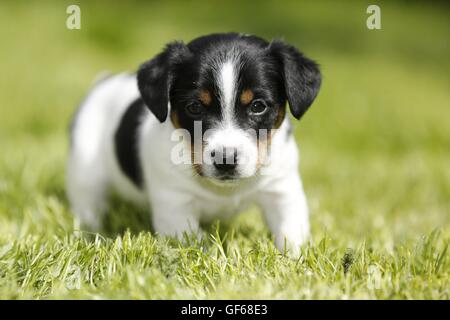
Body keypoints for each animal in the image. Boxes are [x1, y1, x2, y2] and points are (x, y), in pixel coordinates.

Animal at [66, 32, 320, 255]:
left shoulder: (283, 191)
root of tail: (104, 82)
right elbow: (195, 242)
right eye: (195, 107)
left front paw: (295, 259)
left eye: (258, 106)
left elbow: (290, 230)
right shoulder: (175, 206)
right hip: (85, 169)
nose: (226, 160)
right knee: (87, 202)